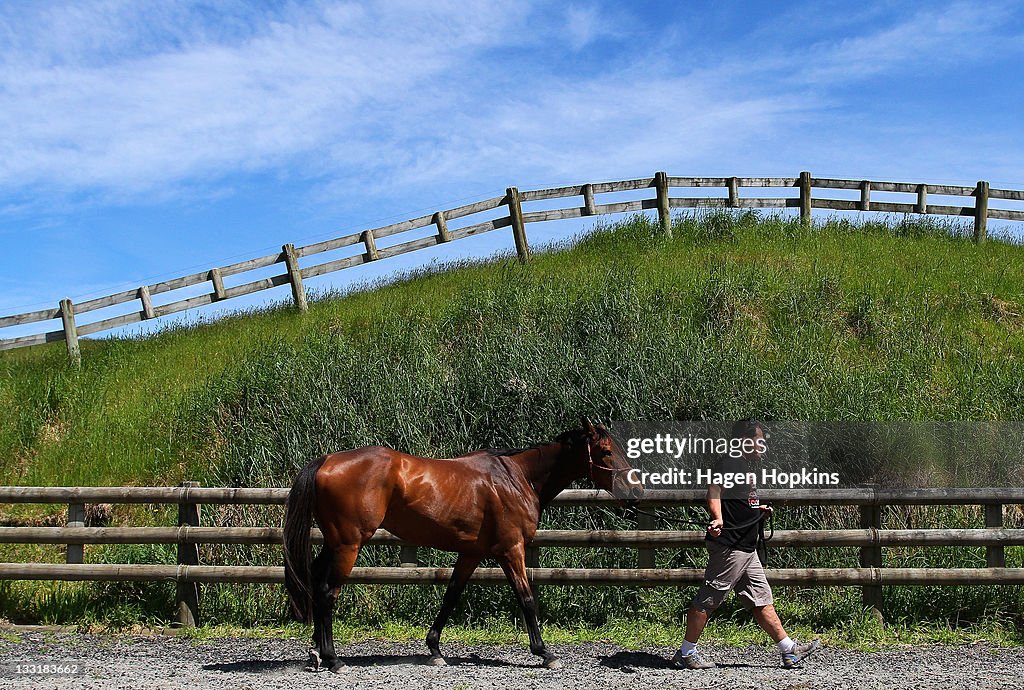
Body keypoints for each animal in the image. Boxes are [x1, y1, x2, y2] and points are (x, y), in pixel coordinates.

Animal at [280, 415, 643, 667]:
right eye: (606, 452)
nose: (636, 492)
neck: (515, 478)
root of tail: (326, 461)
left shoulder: (471, 554)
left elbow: (451, 596)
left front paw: (434, 648)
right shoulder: (511, 550)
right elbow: (526, 599)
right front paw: (545, 652)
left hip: (335, 542)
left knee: (315, 580)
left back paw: (316, 652)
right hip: (349, 545)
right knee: (327, 592)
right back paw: (333, 658)